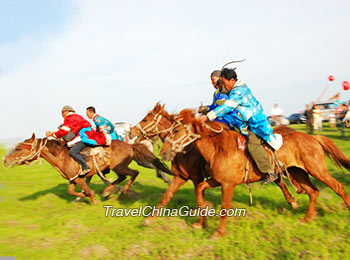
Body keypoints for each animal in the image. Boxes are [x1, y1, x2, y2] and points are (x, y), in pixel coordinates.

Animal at [4, 133, 174, 204]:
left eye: (19, 148)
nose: (5, 160)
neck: (62, 156)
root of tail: (129, 145)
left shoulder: (80, 178)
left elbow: (86, 189)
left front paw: (92, 199)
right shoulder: (73, 179)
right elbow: (71, 191)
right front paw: (81, 196)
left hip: (120, 166)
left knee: (133, 173)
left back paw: (122, 190)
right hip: (117, 168)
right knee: (123, 176)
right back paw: (108, 191)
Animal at [130, 102, 300, 226]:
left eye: (145, 119)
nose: (131, 132)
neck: (187, 149)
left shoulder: (197, 178)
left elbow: (199, 199)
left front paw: (203, 218)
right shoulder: (180, 177)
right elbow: (166, 196)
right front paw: (149, 219)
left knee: (279, 180)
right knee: (279, 180)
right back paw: (292, 202)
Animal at [160, 109, 350, 238]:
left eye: (176, 131)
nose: (163, 152)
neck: (219, 148)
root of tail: (313, 138)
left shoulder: (228, 184)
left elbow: (224, 207)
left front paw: (218, 233)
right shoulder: (216, 180)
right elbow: (200, 189)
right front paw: (201, 221)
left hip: (318, 170)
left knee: (338, 187)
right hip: (299, 172)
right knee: (313, 192)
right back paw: (307, 218)